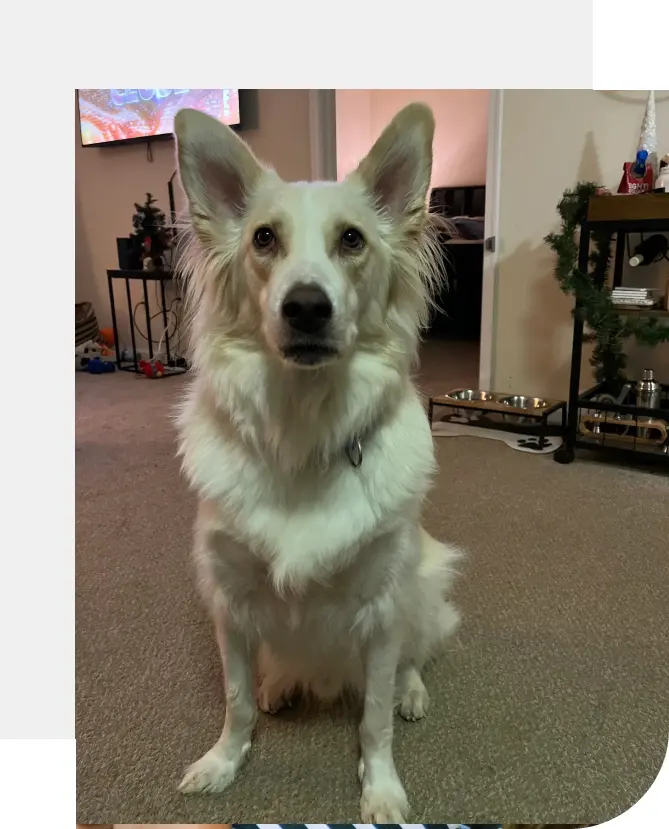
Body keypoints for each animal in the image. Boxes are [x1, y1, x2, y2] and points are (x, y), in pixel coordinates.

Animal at [175, 100, 462, 820]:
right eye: (263, 239)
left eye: (352, 240)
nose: (306, 306)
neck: (302, 427)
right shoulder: (229, 599)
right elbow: (236, 701)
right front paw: (224, 760)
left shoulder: (382, 606)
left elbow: (375, 718)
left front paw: (381, 788)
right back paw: (281, 681)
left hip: (423, 578)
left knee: (415, 655)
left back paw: (413, 691)